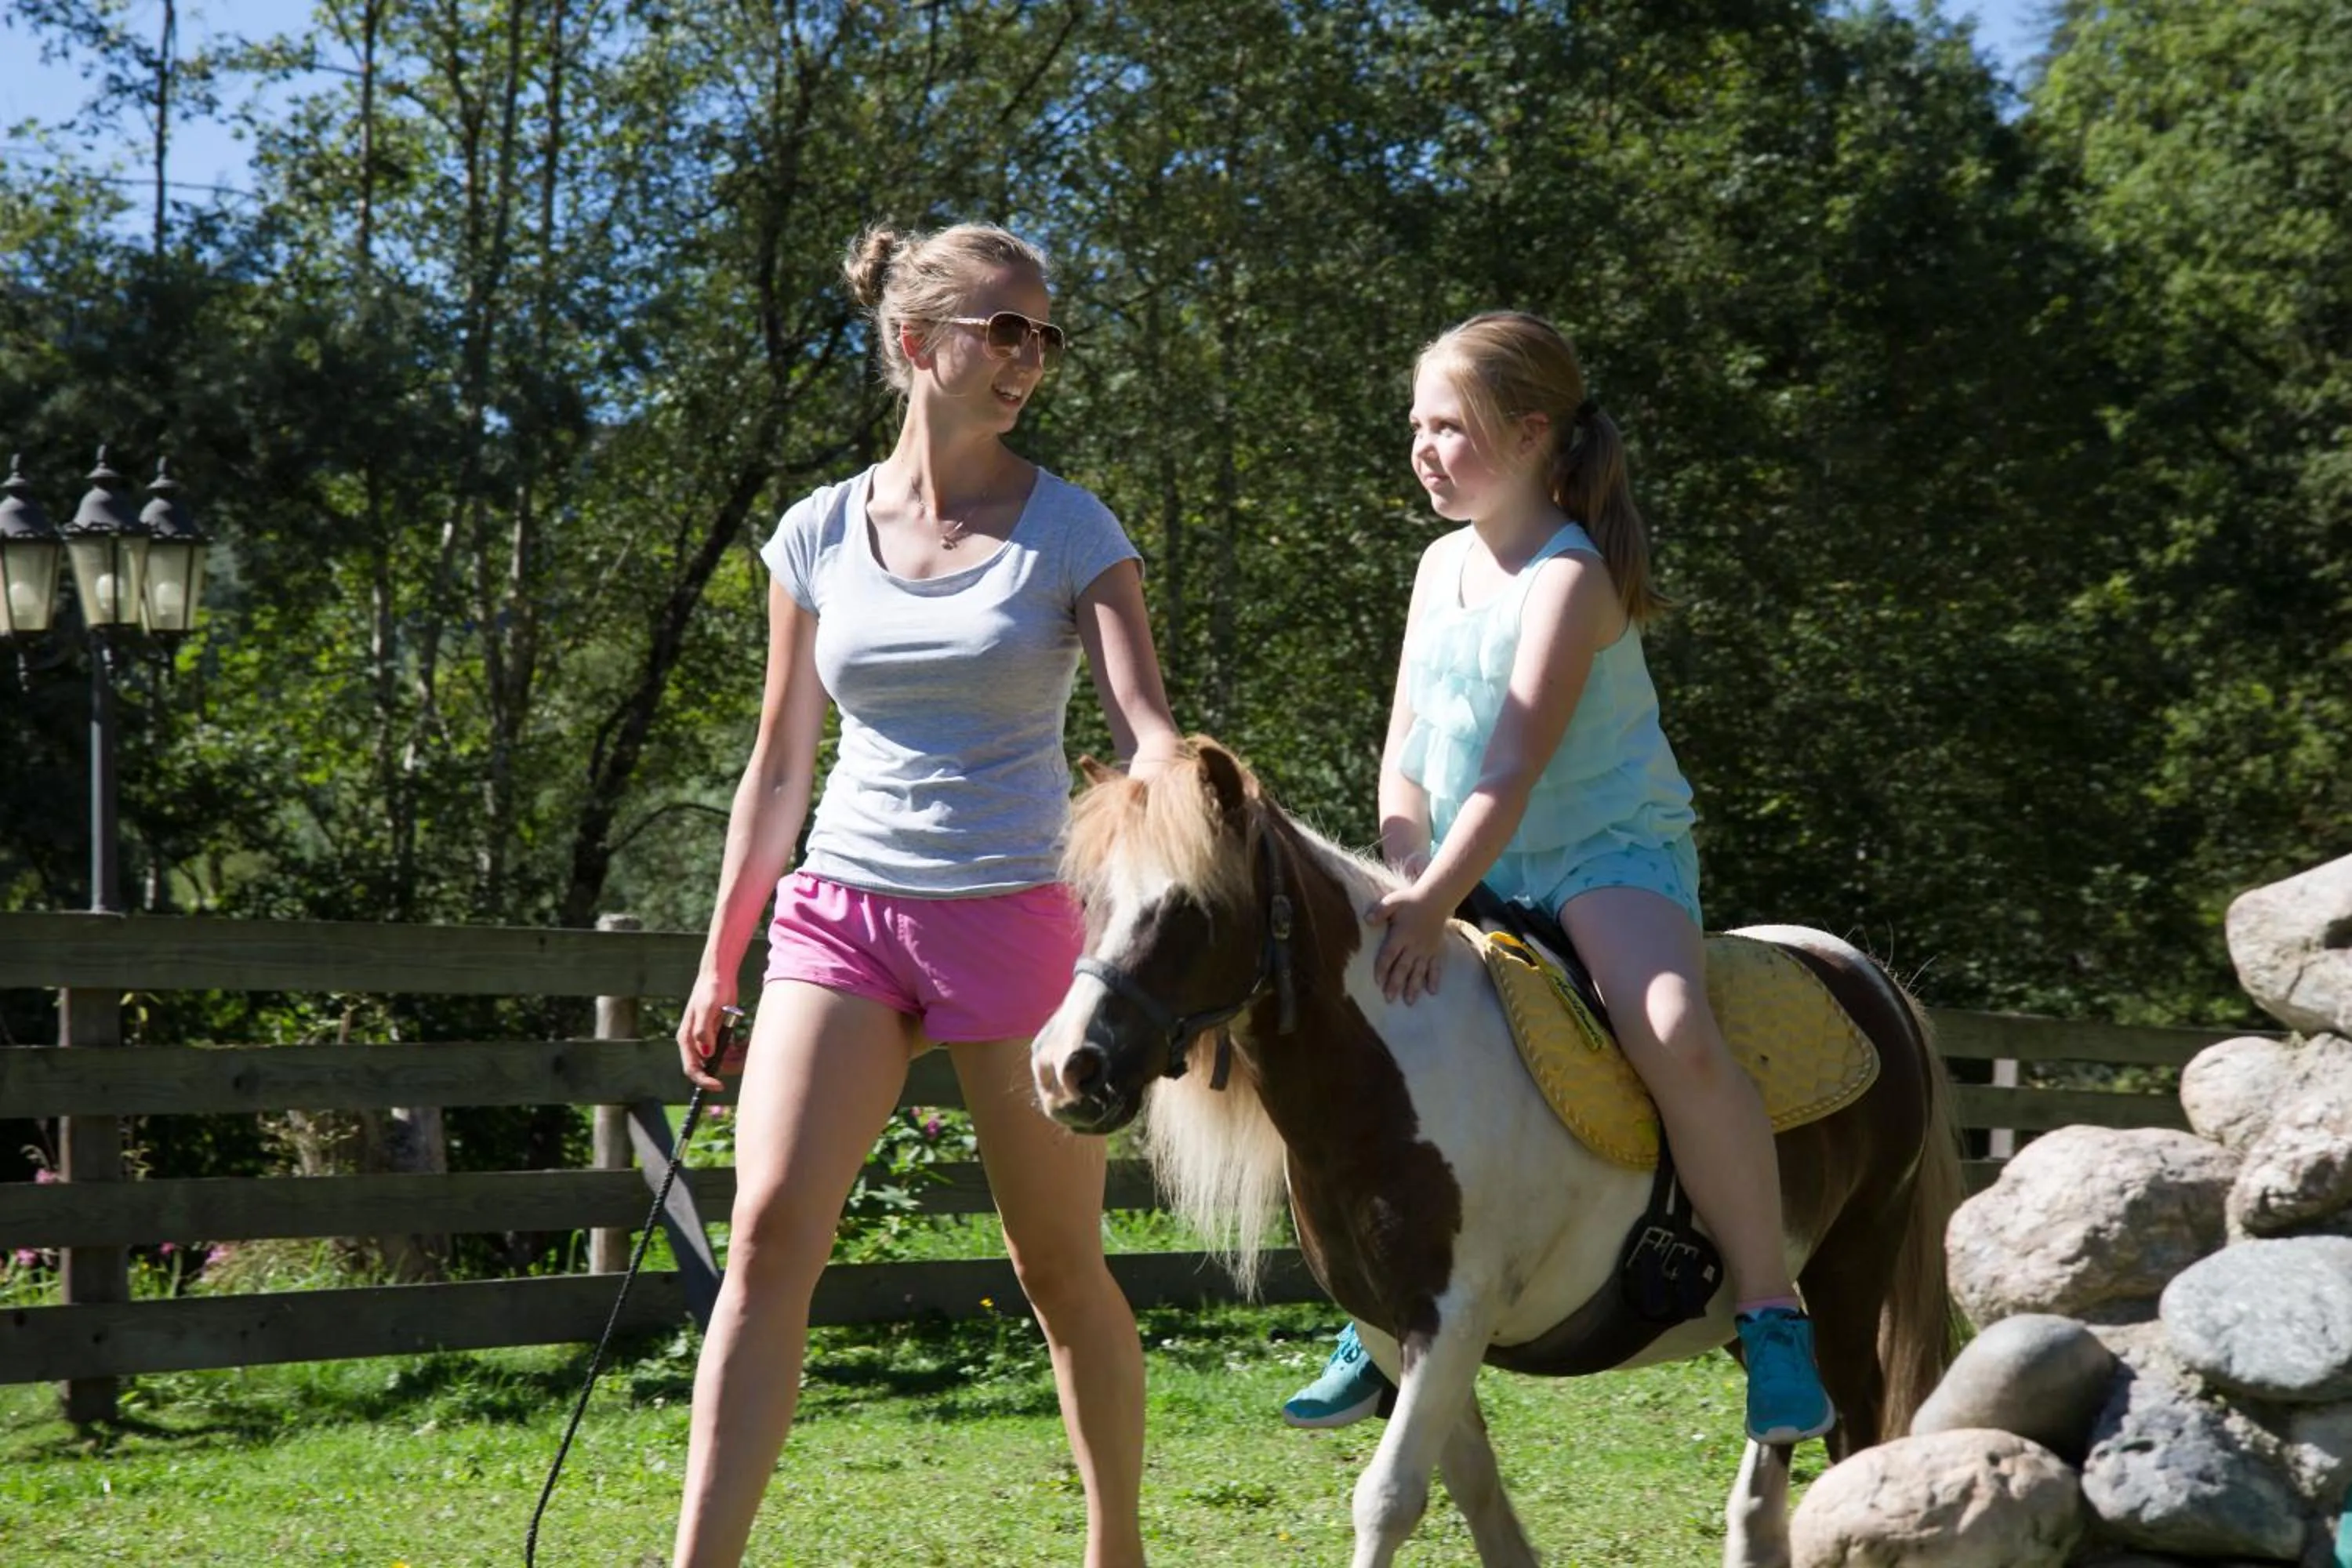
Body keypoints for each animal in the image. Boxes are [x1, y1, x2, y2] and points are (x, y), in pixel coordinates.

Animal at [1029, 739, 1964, 1568]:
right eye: (1088, 900)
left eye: (1189, 907)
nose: (1066, 1067)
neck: (1395, 1076)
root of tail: (1865, 974)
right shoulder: (1394, 1328)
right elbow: (1470, 1485)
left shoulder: (1452, 1315)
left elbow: (1388, 1495)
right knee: (1782, 1430)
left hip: (1851, 1268)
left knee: (1851, 1424)